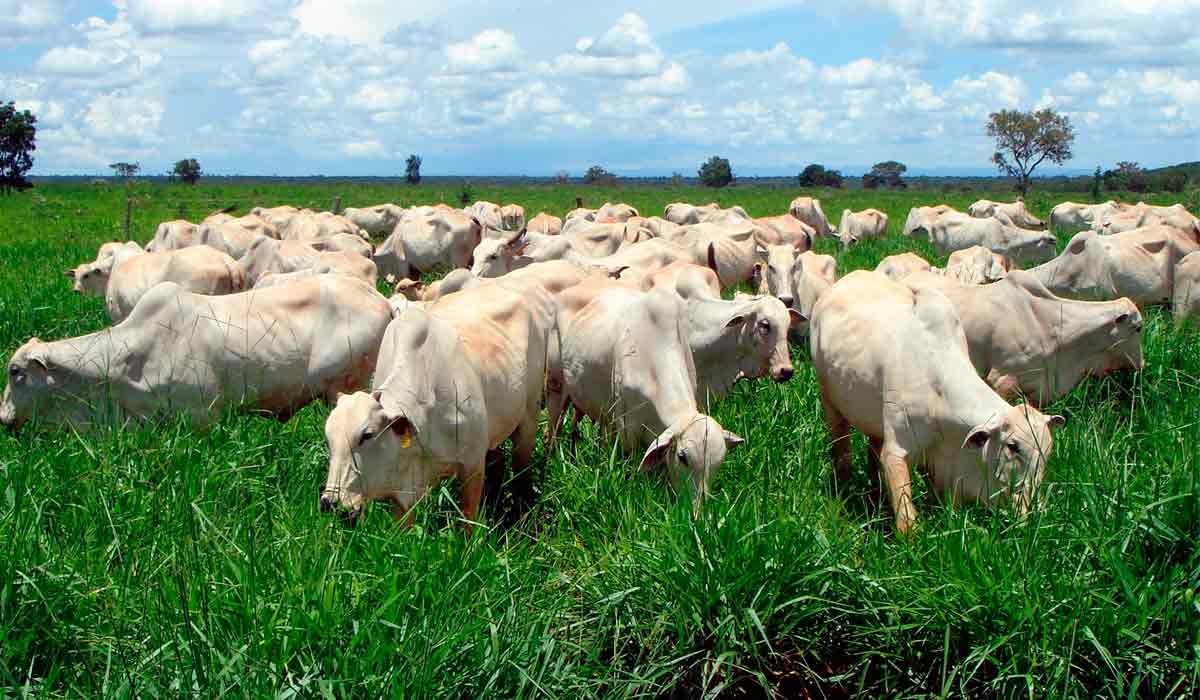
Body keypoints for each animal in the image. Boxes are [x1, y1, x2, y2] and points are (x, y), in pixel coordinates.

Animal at [811, 271, 1065, 533]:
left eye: (1047, 452)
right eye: (1013, 446)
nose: (1033, 511)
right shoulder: (897, 450)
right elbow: (906, 519)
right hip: (830, 401)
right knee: (841, 448)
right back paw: (844, 489)